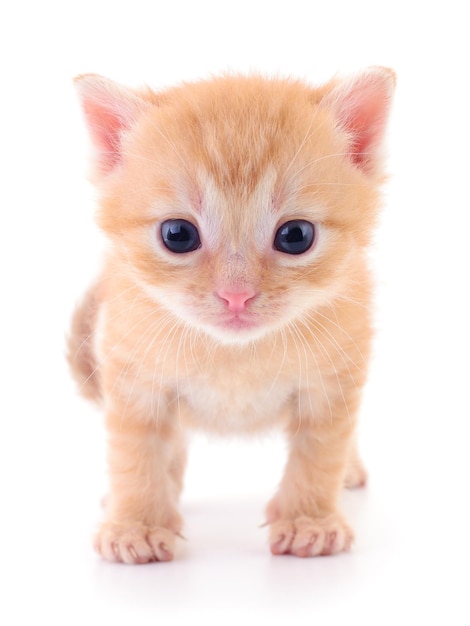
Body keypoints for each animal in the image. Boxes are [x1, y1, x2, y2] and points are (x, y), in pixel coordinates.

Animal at [68, 67, 394, 560]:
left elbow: (320, 450)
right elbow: (136, 451)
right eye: (177, 234)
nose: (235, 295)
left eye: (296, 236)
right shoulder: (134, 378)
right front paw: (137, 524)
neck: (234, 356)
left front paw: (308, 520)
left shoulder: (335, 380)